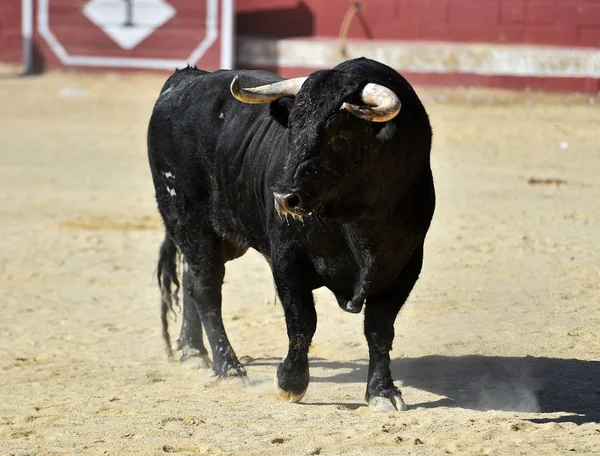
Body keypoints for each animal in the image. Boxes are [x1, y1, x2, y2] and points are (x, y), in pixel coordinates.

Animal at [147, 56, 434, 410]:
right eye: (293, 127)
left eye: (341, 134)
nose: (284, 197)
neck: (355, 221)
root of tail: (183, 79)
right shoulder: (287, 260)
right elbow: (302, 322)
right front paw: (290, 382)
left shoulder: (404, 267)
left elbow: (380, 329)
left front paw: (383, 391)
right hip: (188, 221)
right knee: (206, 290)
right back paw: (229, 367)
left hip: (216, 235)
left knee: (190, 278)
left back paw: (194, 352)